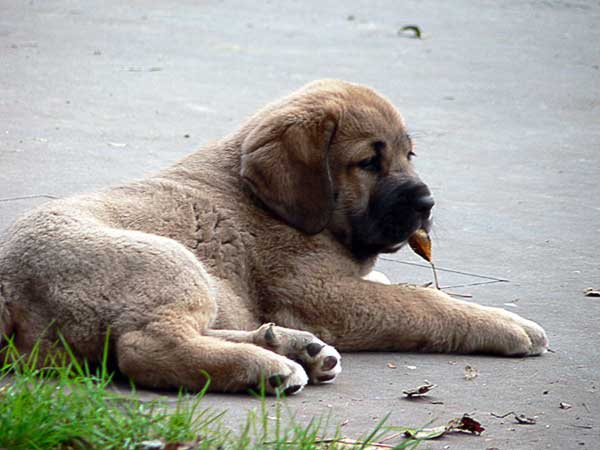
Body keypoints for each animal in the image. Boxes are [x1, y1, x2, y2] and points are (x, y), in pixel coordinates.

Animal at [0, 80, 548, 394]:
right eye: (368, 163)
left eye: (408, 155)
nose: (427, 204)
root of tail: (8, 290)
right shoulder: (322, 295)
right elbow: (423, 302)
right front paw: (505, 324)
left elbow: (395, 286)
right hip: (168, 262)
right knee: (145, 348)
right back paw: (268, 367)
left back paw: (291, 348)